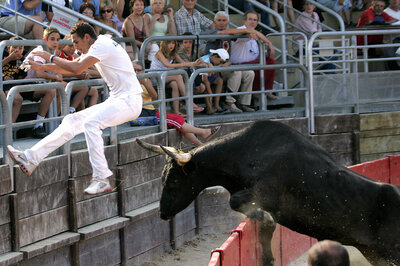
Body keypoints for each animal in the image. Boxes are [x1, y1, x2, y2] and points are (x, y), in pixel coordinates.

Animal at [137, 120, 400, 264]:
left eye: (172, 181)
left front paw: (266, 221)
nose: (162, 213)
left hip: (390, 252)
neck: (245, 153)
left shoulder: (268, 193)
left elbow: (238, 202)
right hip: (374, 252)